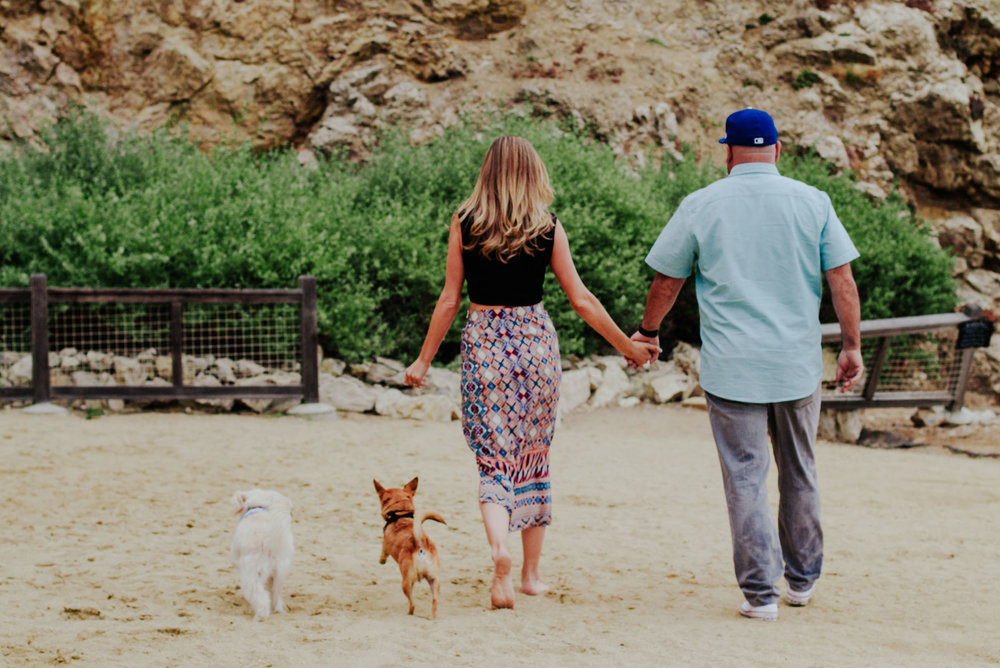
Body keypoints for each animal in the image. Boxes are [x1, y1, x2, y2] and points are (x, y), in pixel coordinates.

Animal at [232, 486, 294, 620]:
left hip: (252, 574)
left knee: (260, 597)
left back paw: (260, 616)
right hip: (280, 573)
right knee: (276, 593)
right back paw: (278, 609)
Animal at [374, 478, 448, 620]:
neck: (400, 515)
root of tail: (420, 543)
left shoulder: (385, 545)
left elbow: (383, 552)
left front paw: (381, 560)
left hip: (406, 583)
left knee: (413, 604)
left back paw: (409, 614)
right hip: (435, 581)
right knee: (434, 602)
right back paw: (433, 618)